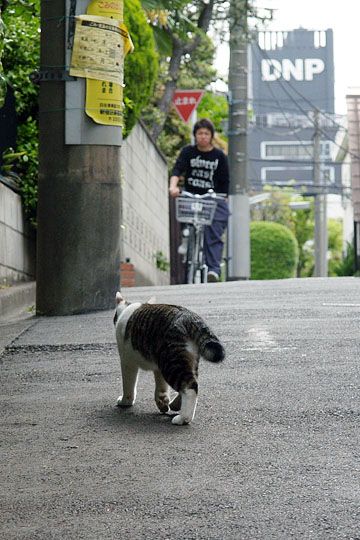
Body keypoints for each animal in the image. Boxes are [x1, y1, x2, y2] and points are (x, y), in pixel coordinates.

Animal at [114, 294, 224, 424]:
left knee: (190, 387)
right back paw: (176, 404)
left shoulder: (127, 361)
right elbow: (161, 387)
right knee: (191, 382)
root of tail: (189, 317)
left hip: (171, 361)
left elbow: (128, 385)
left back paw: (183, 418)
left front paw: (125, 401)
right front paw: (162, 402)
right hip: (182, 360)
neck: (127, 308)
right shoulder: (158, 368)